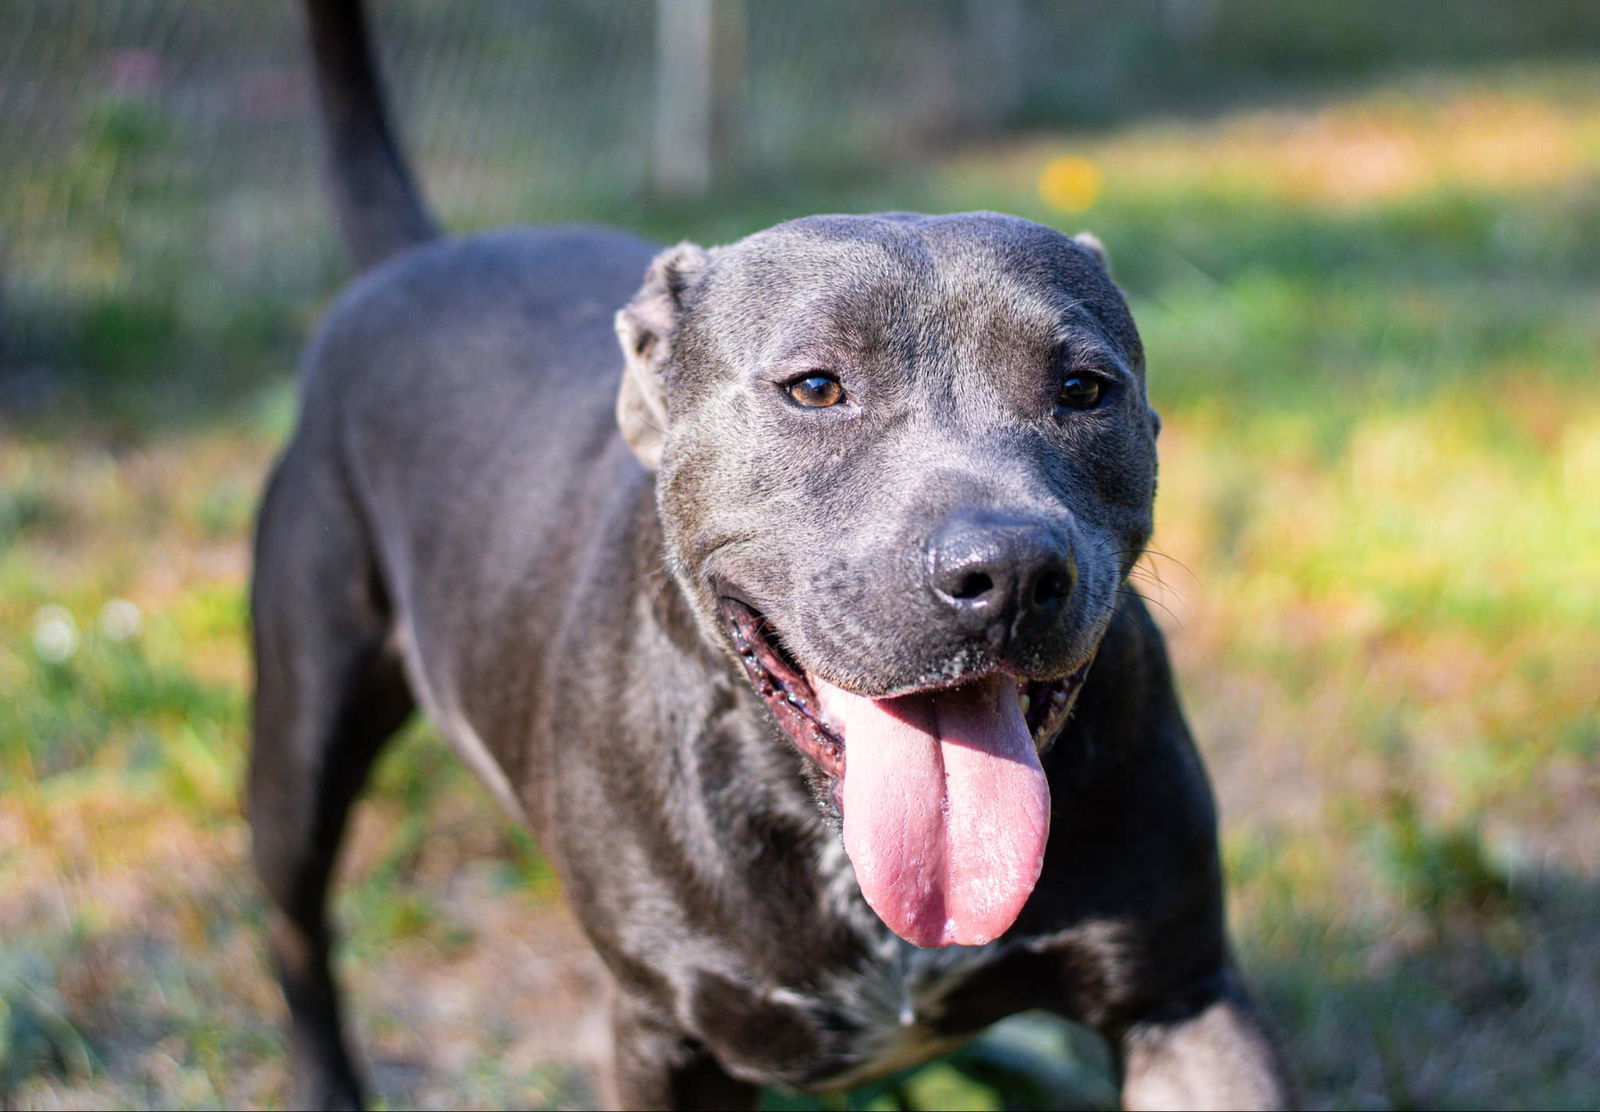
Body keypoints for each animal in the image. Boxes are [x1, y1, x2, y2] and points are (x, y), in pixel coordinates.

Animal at [252, 4, 1299, 1107]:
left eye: (1084, 389)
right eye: (814, 387)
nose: (1008, 572)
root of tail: (412, 260)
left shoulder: (1182, 1001)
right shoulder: (669, 1040)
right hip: (298, 748)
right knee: (296, 931)